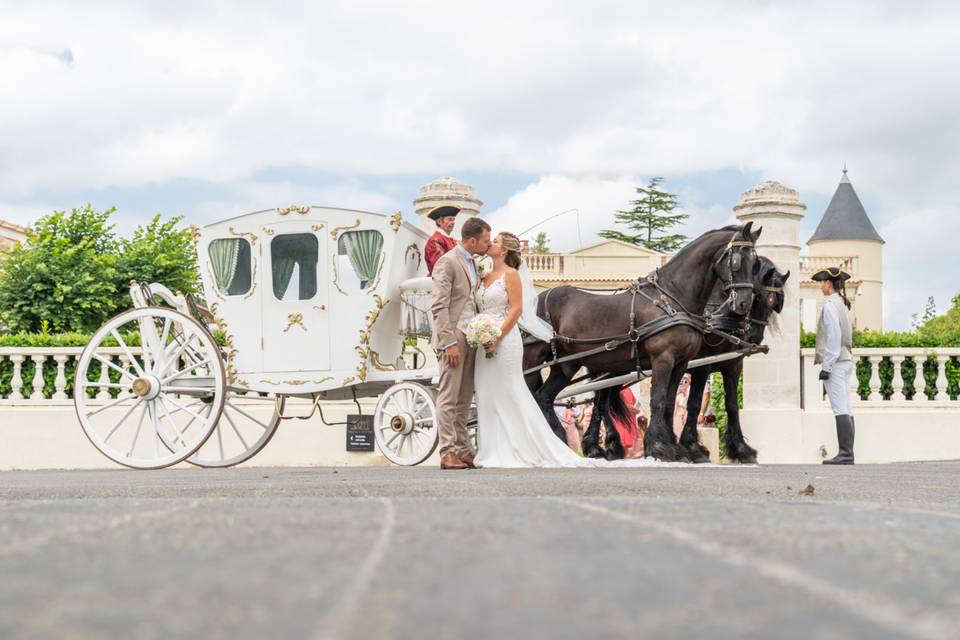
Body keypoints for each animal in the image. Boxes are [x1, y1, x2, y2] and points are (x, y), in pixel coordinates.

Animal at [520, 224, 760, 460]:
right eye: (737, 260)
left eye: (755, 263)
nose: (744, 304)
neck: (673, 297)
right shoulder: (663, 359)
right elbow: (658, 399)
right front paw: (659, 447)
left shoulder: (681, 363)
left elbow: (670, 403)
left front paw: (675, 447)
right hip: (532, 359)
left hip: (567, 365)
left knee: (544, 397)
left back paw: (557, 441)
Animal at [676, 258, 788, 462]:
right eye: (756, 296)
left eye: (774, 304)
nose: (753, 337)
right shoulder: (703, 366)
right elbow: (694, 403)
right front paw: (693, 447)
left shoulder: (733, 366)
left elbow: (732, 405)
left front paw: (741, 448)